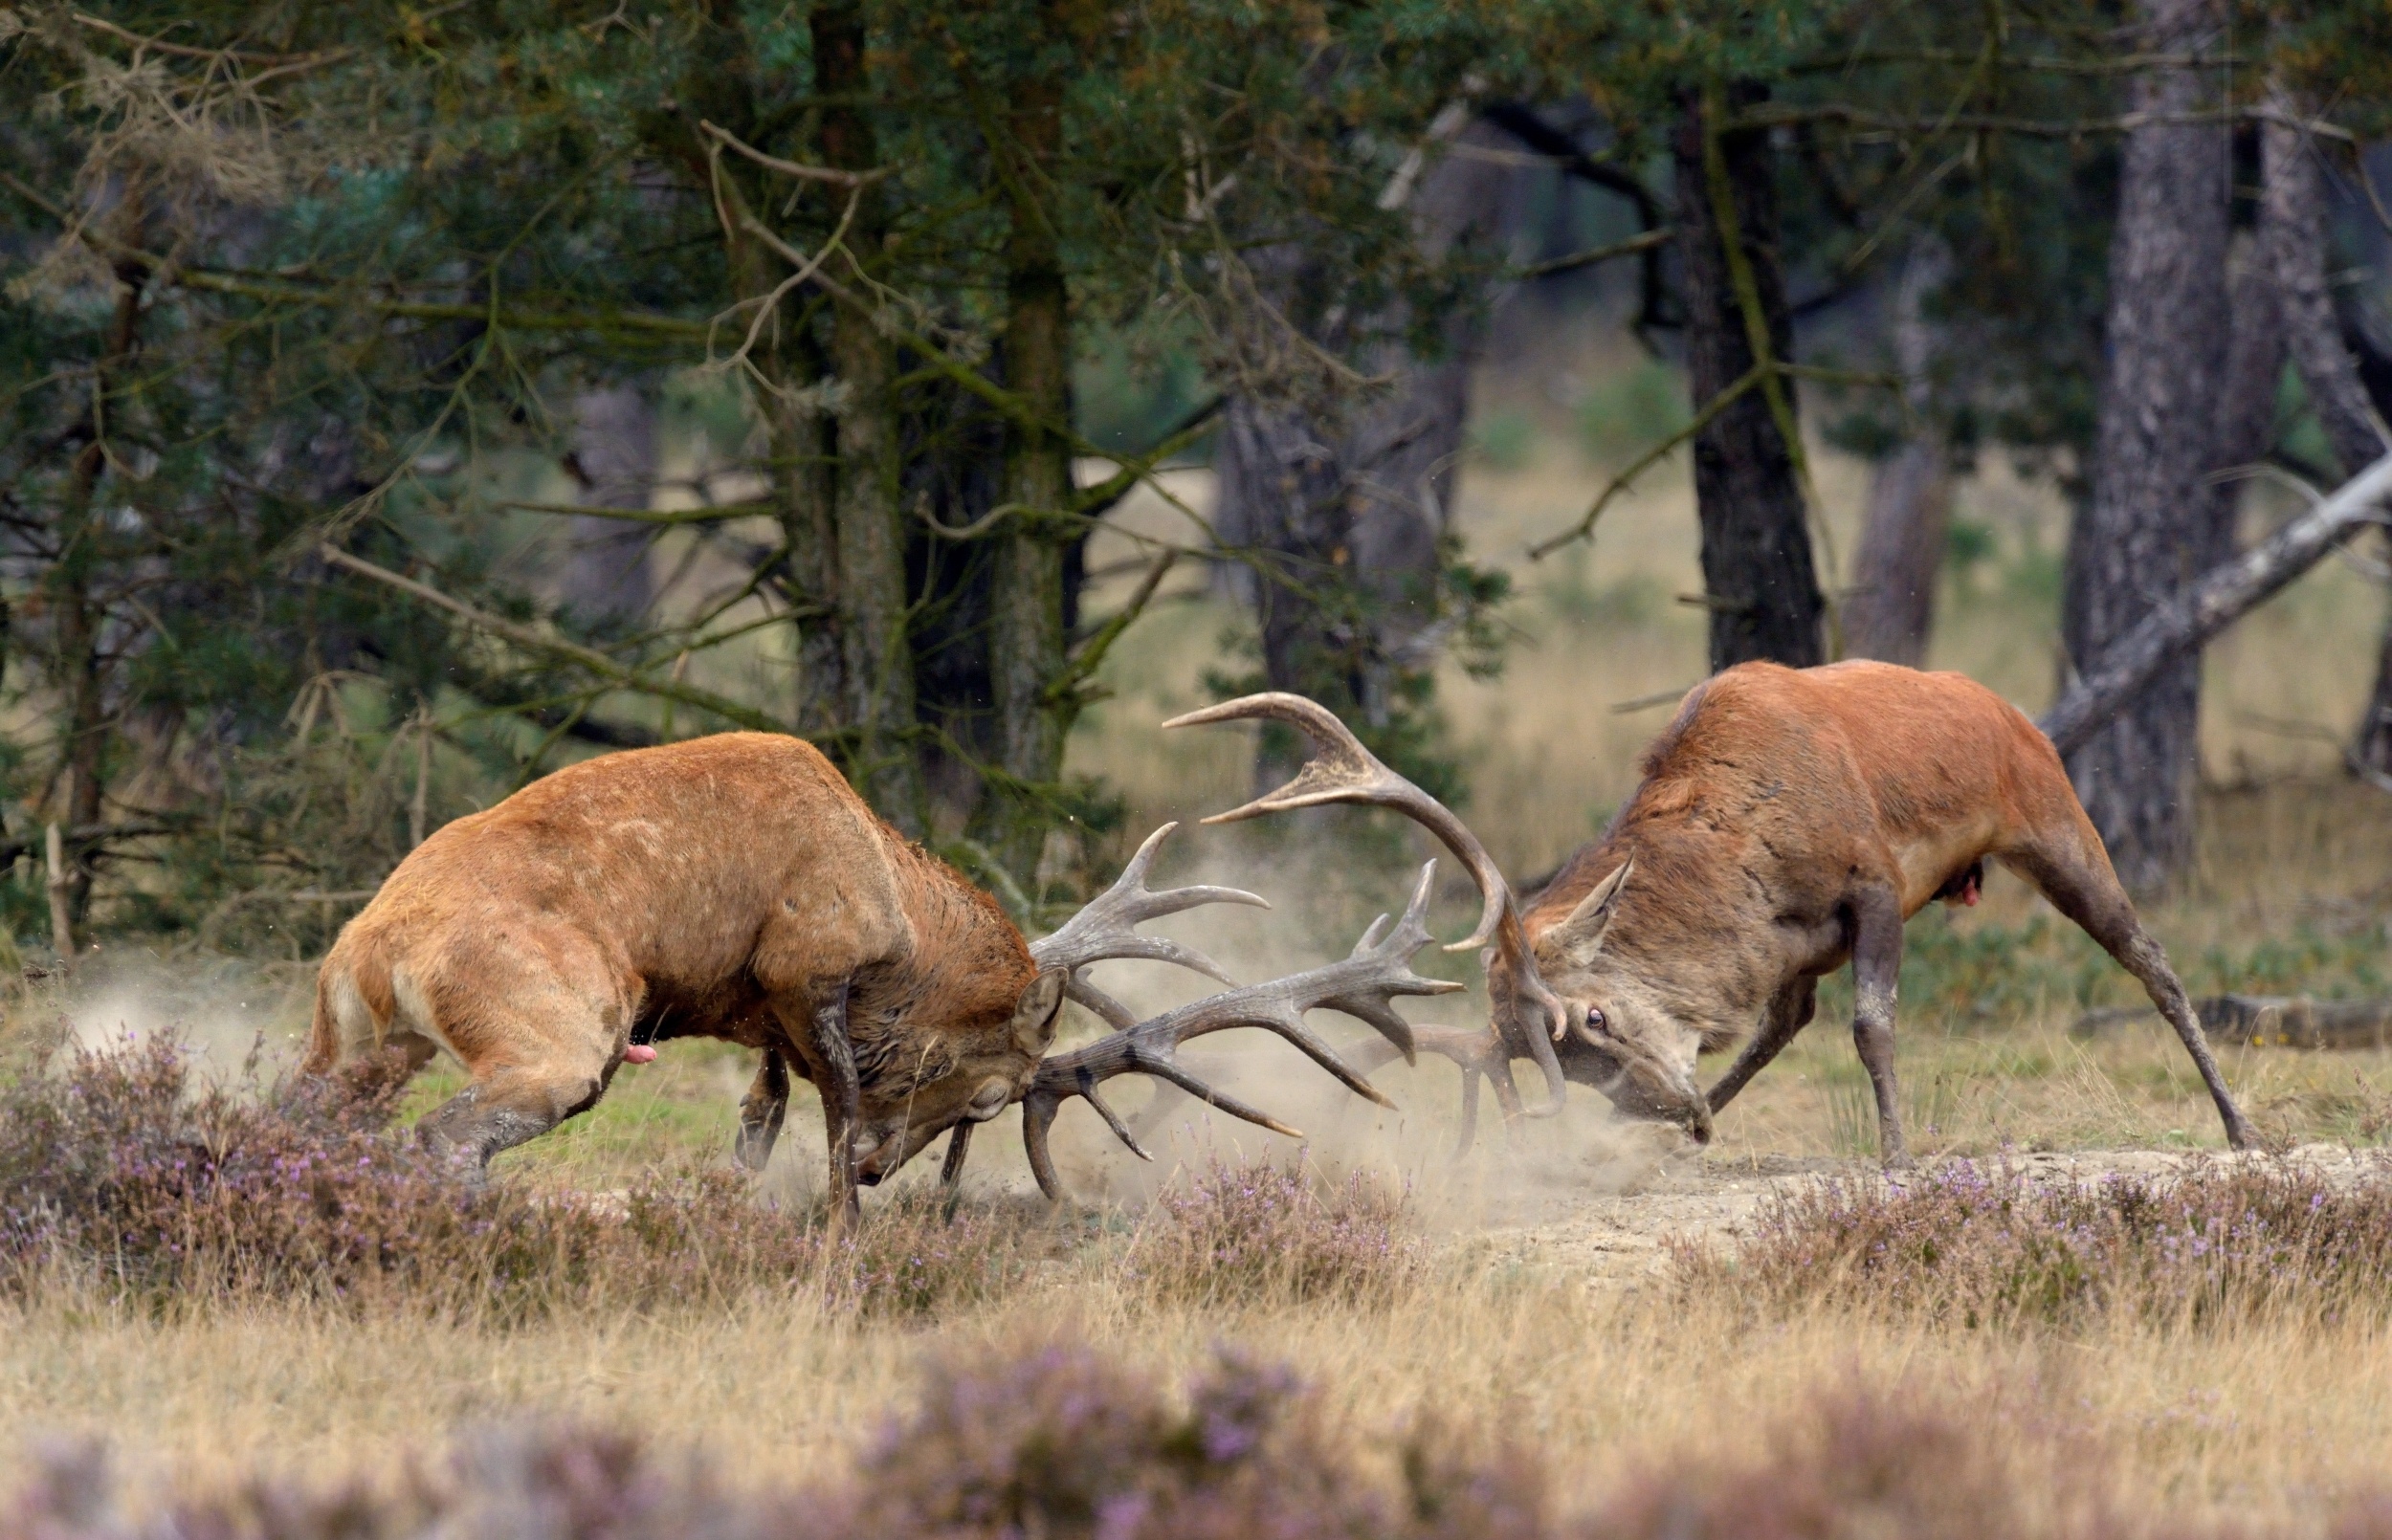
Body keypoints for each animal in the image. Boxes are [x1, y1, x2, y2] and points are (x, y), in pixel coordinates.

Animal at [308, 737, 1464, 1224]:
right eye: (993, 1097)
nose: (885, 1171)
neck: (899, 917)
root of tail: (371, 946)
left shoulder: (766, 1015)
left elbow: (769, 1115)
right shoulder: (808, 965)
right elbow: (832, 1122)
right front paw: (842, 1239)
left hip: (349, 1044)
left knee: (308, 1121)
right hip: (555, 1035)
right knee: (443, 1140)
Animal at [1177, 665, 2258, 1167]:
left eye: (1594, 1017)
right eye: (1563, 1062)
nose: (1665, 1107)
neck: (1748, 848)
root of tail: (2003, 704)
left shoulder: (1871, 881)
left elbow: (1873, 1026)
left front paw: (1897, 1154)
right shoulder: (1792, 941)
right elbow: (1789, 1021)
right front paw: (1663, 1135)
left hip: (2052, 819)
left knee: (2151, 957)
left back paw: (2242, 1126)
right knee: (1788, 1019)